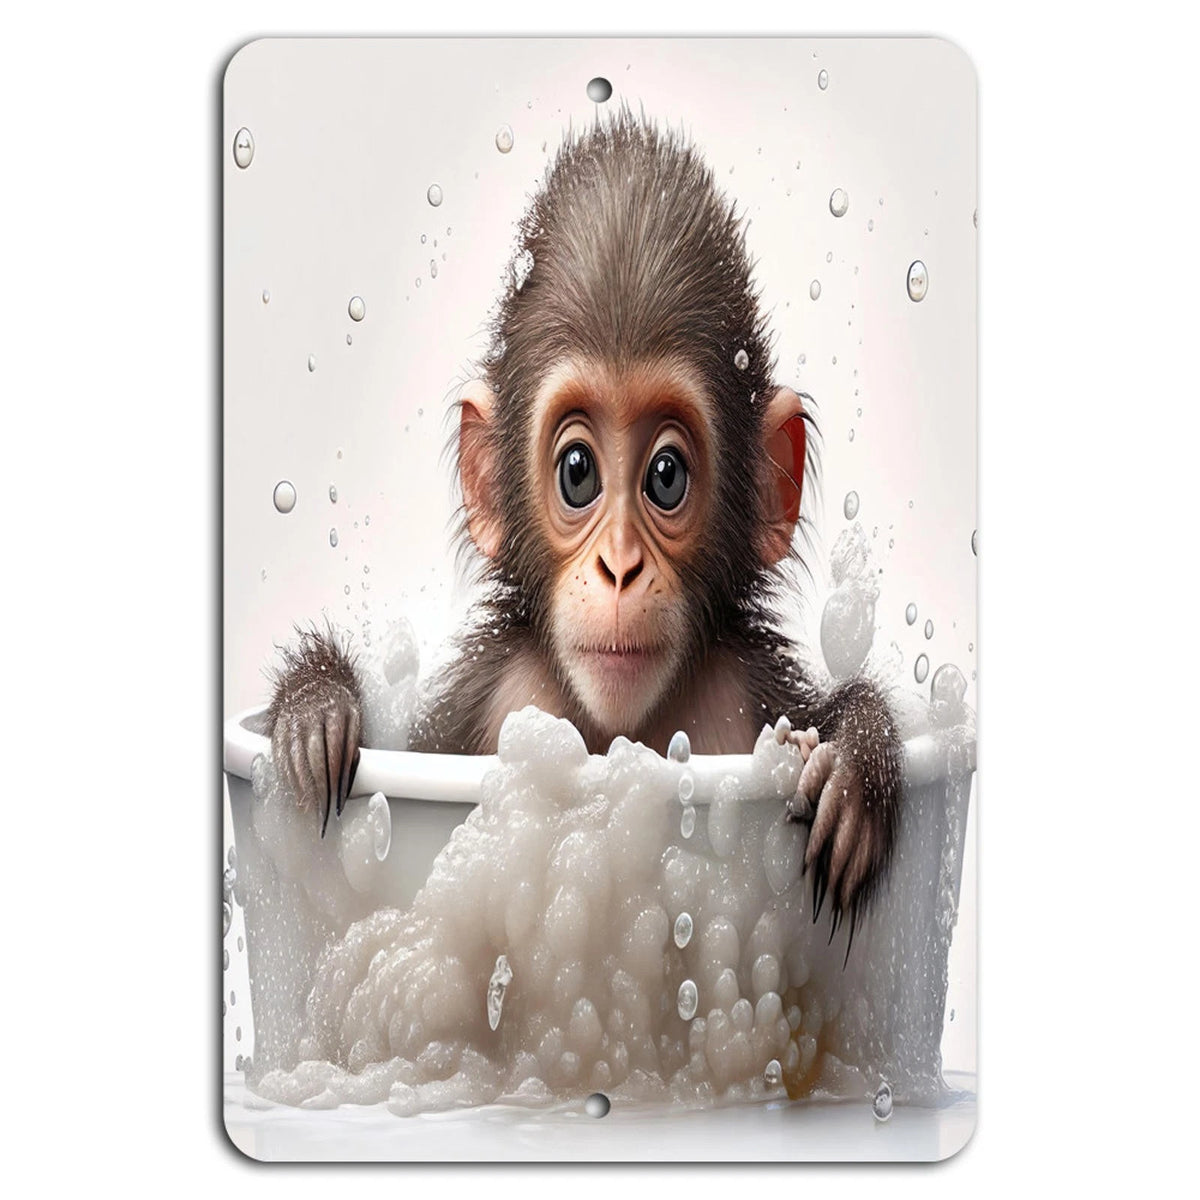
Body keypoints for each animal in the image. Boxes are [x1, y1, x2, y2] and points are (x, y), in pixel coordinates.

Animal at [267, 110, 903, 946]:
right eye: (577, 472)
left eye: (665, 476)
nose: (620, 566)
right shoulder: (487, 696)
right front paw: (316, 710)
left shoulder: (748, 683)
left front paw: (854, 759)